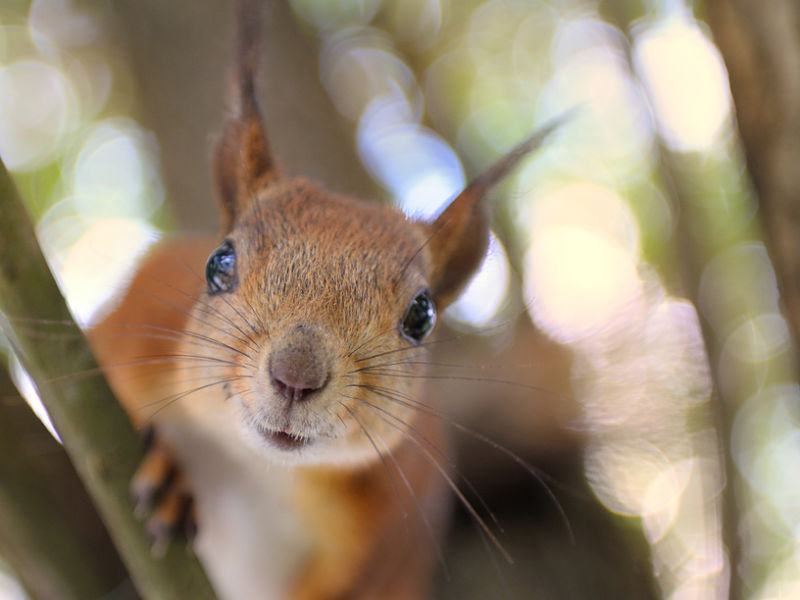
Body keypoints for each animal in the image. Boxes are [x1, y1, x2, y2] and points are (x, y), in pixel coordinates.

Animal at [86, 2, 556, 596]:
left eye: (422, 316)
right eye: (219, 263)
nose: (295, 376)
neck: (257, 468)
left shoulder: (390, 534)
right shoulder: (138, 322)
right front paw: (168, 473)